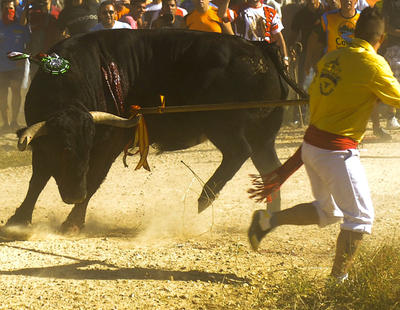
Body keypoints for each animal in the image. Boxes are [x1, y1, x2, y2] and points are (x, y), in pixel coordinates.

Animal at [7, 28, 296, 232]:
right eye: (65, 151)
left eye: (86, 149)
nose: (74, 194)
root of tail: (258, 47)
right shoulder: (42, 145)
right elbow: (38, 178)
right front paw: (19, 219)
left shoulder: (110, 145)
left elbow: (94, 178)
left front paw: (73, 222)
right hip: (264, 135)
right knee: (270, 167)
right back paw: (271, 214)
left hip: (223, 125)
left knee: (238, 153)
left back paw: (204, 199)